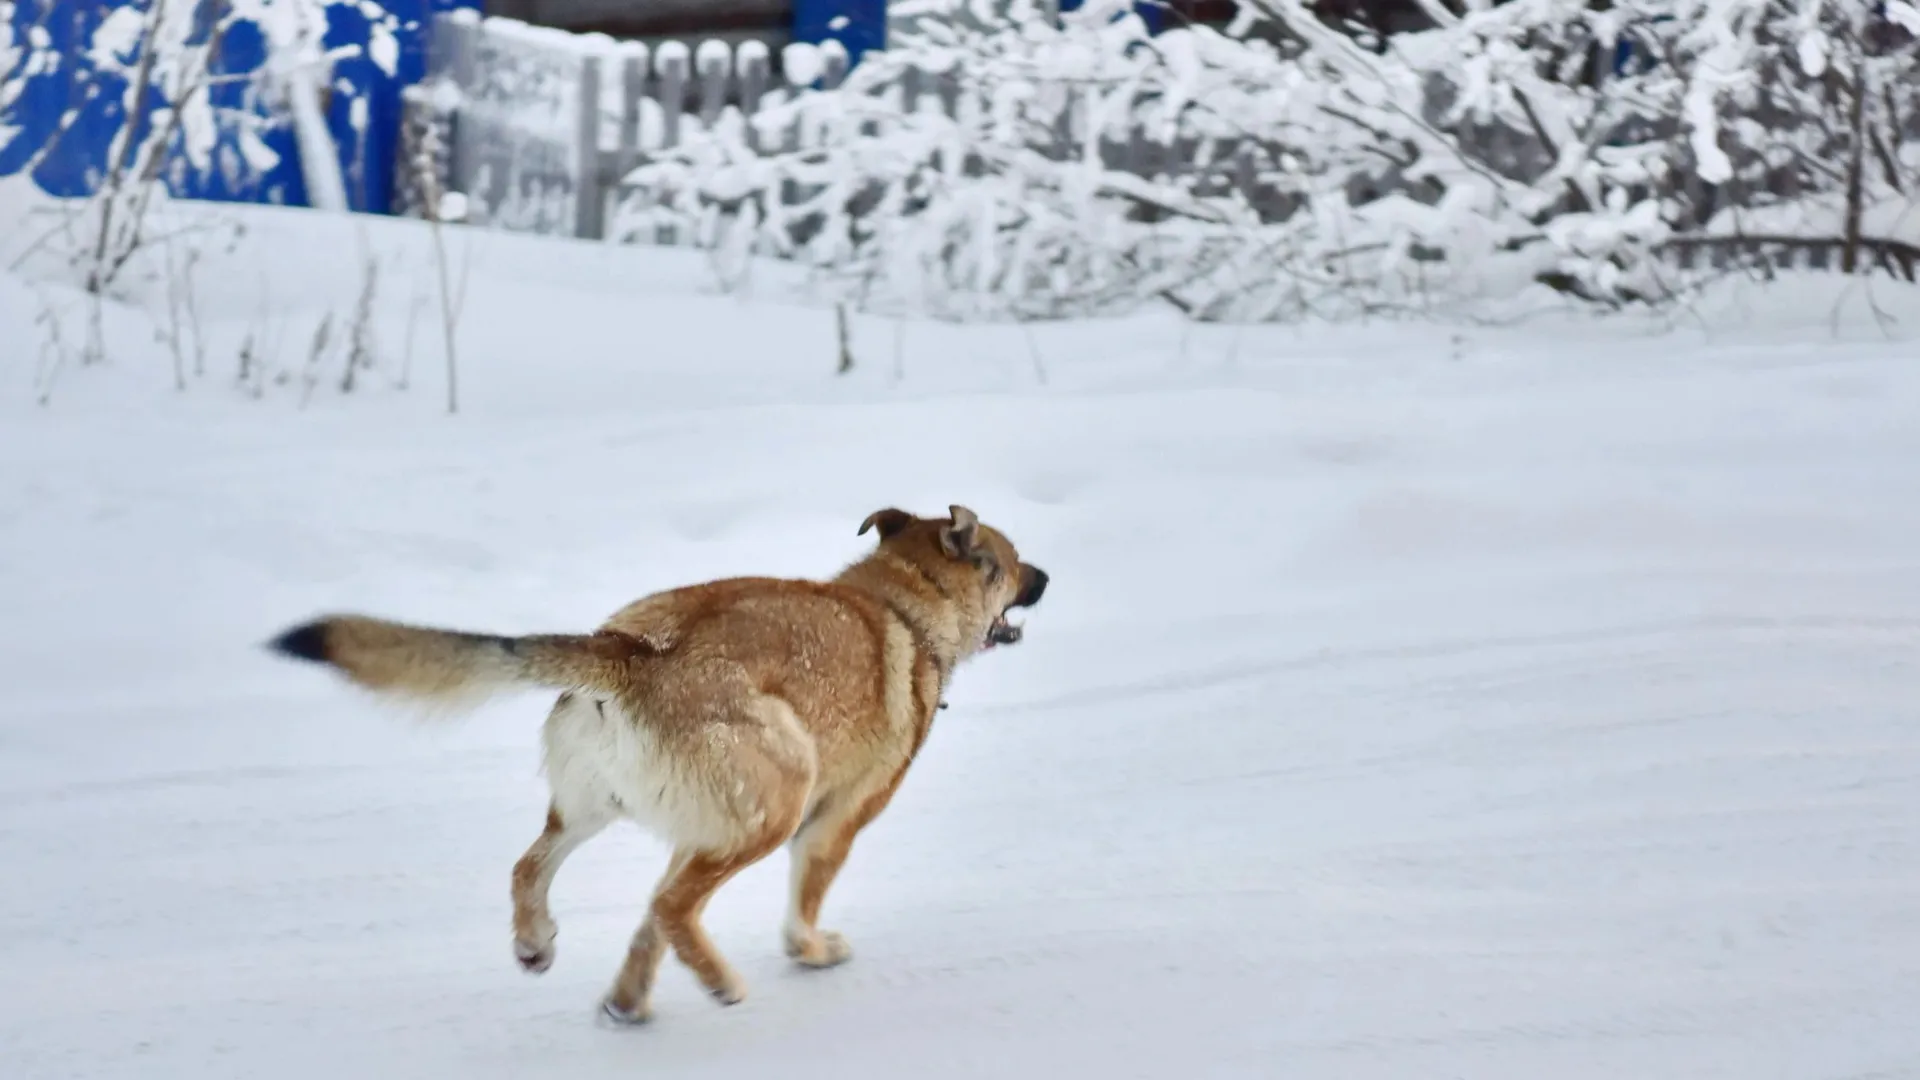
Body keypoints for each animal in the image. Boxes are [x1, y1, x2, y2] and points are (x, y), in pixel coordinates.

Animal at [268, 499, 1052, 1022]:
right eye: (1013, 562)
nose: (1045, 576)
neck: (906, 609)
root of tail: (633, 653)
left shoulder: (695, 830)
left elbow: (645, 917)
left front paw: (627, 998)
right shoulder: (833, 823)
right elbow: (792, 910)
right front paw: (812, 952)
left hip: (598, 808)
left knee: (539, 869)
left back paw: (538, 944)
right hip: (778, 801)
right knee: (675, 905)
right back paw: (721, 983)